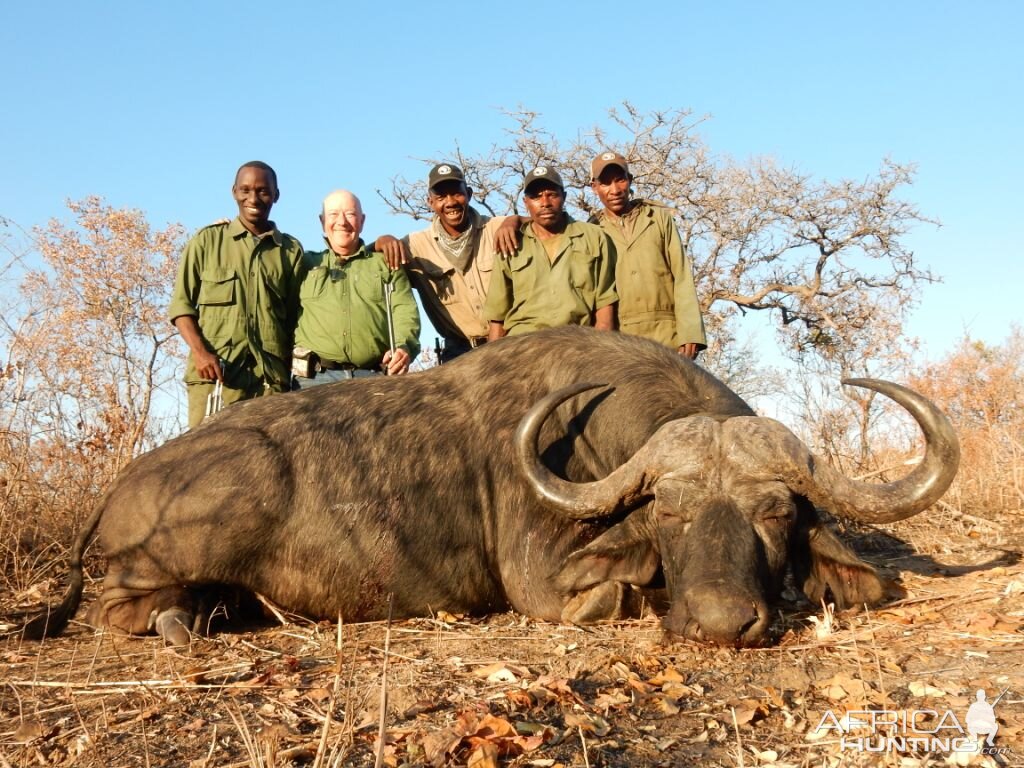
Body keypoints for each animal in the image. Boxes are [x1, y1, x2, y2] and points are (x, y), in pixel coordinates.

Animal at [25, 325, 958, 651]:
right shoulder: (545, 582)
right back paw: (182, 621)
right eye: (669, 511)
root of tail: (128, 483)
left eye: (775, 512)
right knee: (121, 606)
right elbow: (612, 594)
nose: (726, 623)